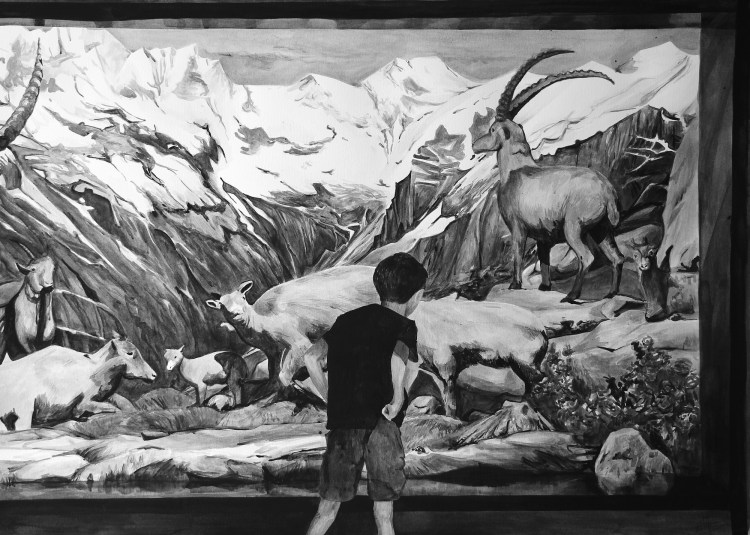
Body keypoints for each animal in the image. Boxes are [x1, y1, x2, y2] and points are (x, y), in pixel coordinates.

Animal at [472, 49, 625, 304]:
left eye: (493, 129)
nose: (475, 145)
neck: (515, 170)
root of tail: (608, 192)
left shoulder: (518, 228)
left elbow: (517, 255)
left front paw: (515, 284)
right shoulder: (543, 236)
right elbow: (543, 261)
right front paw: (544, 287)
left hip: (574, 227)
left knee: (588, 257)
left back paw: (572, 295)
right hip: (602, 229)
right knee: (617, 257)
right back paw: (611, 293)